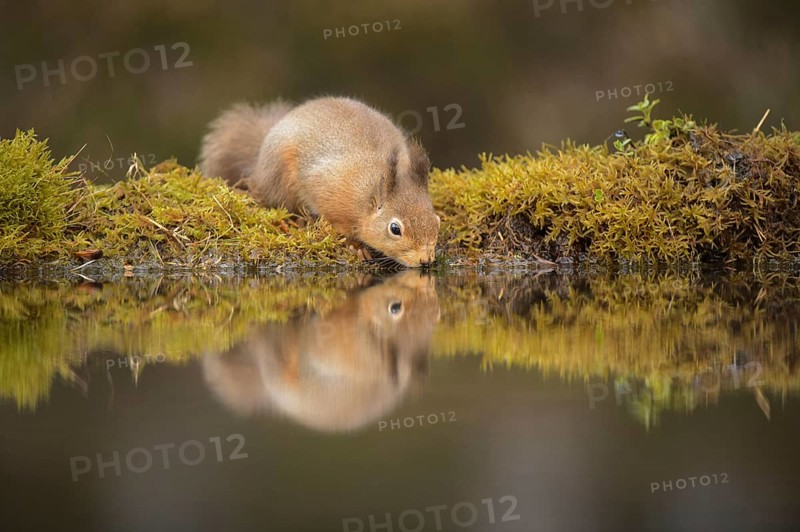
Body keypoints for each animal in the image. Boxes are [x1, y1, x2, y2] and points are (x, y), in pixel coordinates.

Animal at [199, 96, 440, 267]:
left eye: (436, 220)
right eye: (395, 229)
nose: (425, 261)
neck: (365, 193)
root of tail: (259, 163)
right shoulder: (327, 190)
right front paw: (355, 246)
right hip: (280, 178)